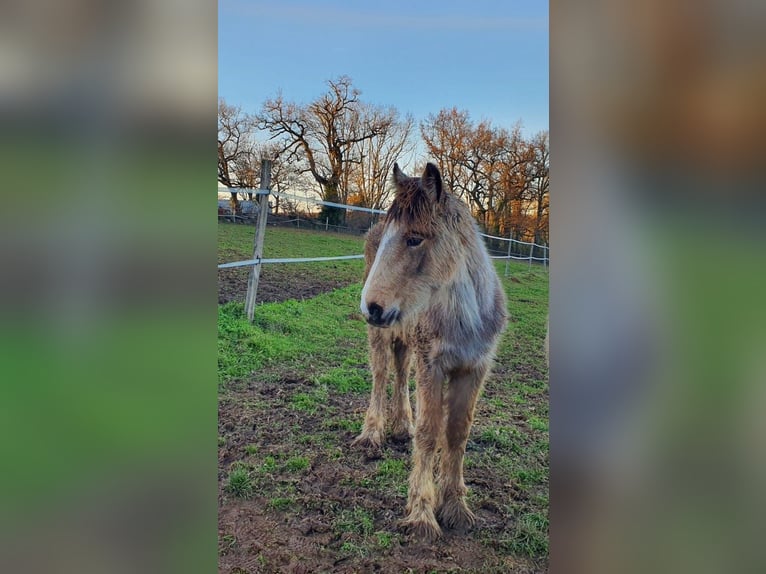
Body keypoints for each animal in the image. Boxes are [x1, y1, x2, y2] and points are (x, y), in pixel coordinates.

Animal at [358, 163, 510, 544]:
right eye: (388, 240)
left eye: (415, 239)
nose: (372, 307)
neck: (465, 316)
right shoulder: (433, 366)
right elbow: (429, 433)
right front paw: (422, 513)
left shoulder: (473, 369)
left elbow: (456, 433)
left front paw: (455, 507)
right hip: (381, 337)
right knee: (381, 377)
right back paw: (373, 433)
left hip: (405, 337)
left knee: (400, 374)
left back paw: (402, 426)